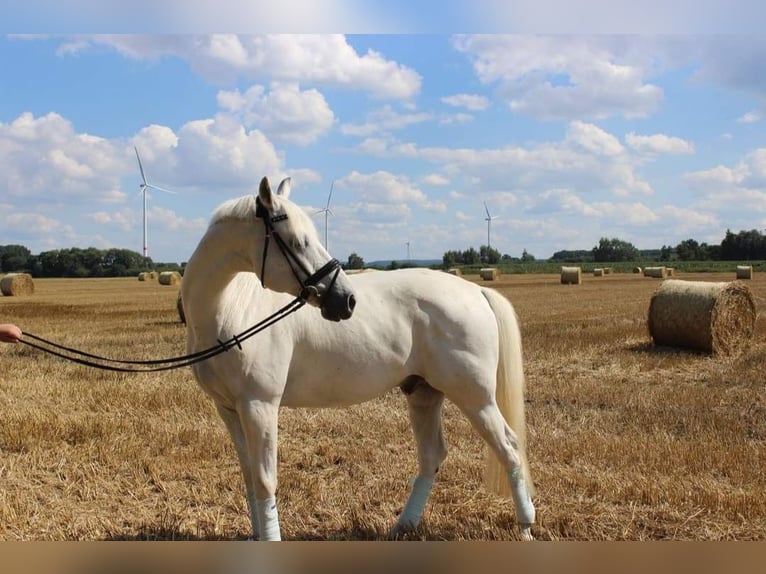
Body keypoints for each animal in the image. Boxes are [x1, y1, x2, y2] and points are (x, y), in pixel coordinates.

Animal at [182, 178, 536, 544]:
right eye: (298, 241)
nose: (346, 300)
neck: (233, 310)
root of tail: (475, 291)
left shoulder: (259, 406)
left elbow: (265, 481)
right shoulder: (229, 410)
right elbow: (250, 477)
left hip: (475, 397)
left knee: (509, 447)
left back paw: (525, 527)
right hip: (424, 394)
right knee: (432, 456)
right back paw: (403, 526)